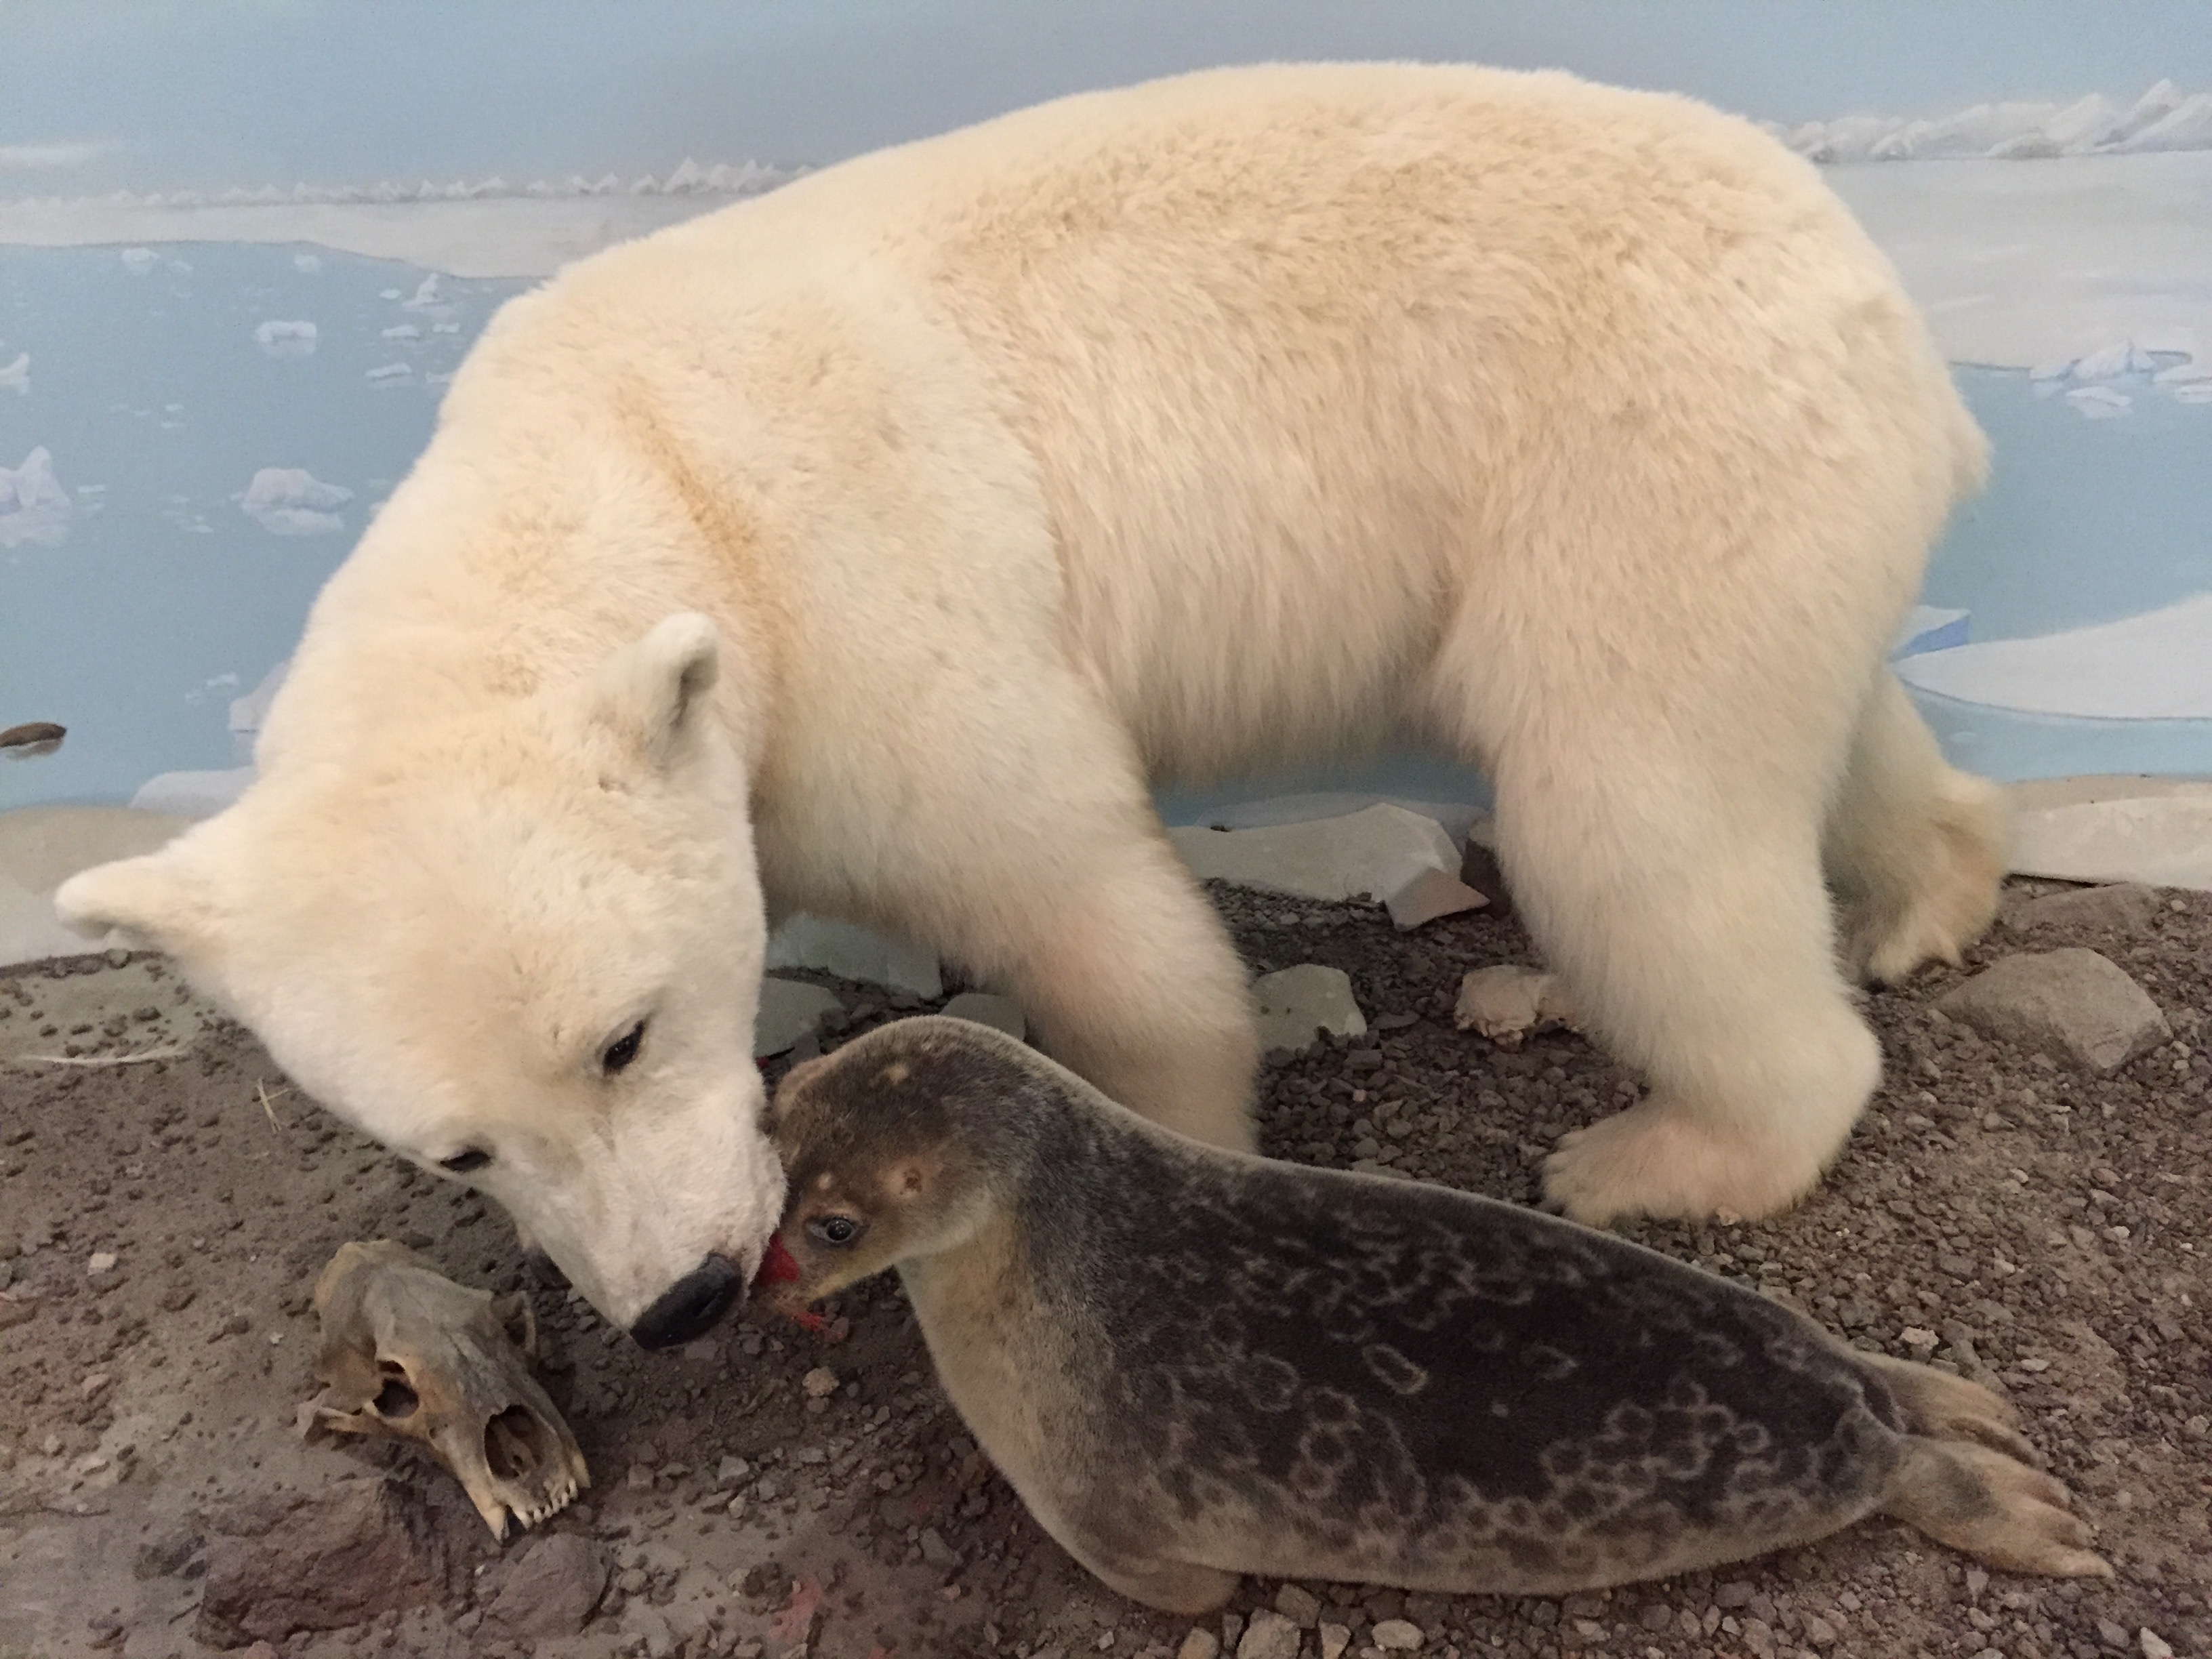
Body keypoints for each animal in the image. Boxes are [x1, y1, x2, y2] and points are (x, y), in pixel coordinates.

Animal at [57, 61, 2006, 1345]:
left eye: (622, 1035)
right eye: (457, 1149)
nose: (682, 1302)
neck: (629, 460)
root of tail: (1890, 316)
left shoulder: (864, 611)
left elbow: (1092, 916)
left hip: (1647, 456)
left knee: (1633, 815)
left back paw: (1658, 1148)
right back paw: (1913, 898)